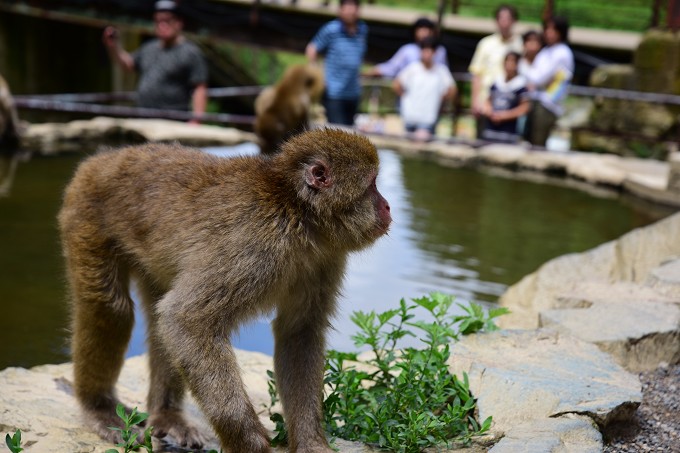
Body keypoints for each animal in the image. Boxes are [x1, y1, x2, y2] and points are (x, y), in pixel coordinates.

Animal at [58, 128, 394, 452]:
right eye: (372, 185)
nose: (388, 206)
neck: (298, 214)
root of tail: (105, 157)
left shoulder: (325, 261)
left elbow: (299, 333)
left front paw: (311, 443)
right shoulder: (254, 245)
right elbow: (186, 320)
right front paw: (248, 442)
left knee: (157, 316)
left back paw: (166, 415)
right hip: (86, 210)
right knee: (111, 308)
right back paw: (99, 409)